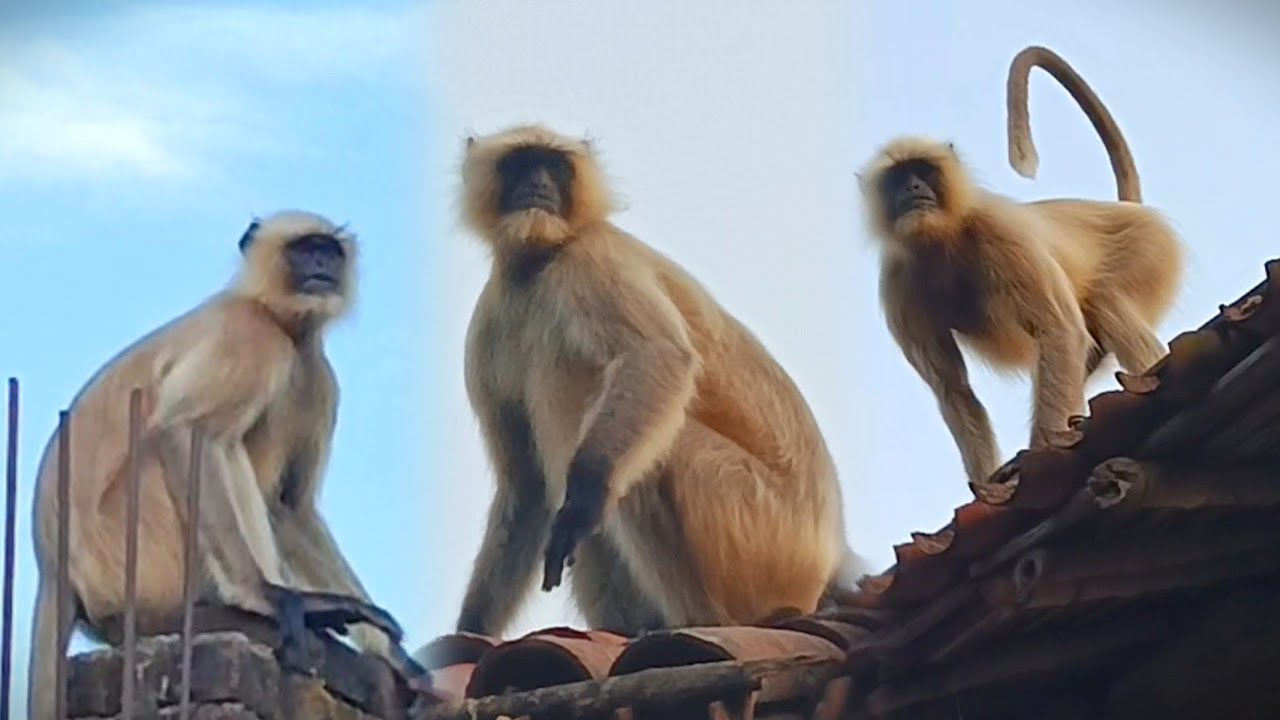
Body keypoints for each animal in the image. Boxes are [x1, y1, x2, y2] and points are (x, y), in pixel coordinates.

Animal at [27, 210, 423, 720]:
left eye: (328, 251)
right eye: (303, 250)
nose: (320, 265)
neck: (279, 318)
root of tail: (51, 565)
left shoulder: (316, 372)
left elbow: (290, 505)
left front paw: (395, 655)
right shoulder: (251, 336)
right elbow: (186, 430)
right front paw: (267, 598)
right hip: (134, 549)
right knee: (216, 441)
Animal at [451, 123, 862, 639]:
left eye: (555, 166)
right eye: (521, 163)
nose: (539, 184)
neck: (538, 262)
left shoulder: (591, 258)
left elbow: (660, 356)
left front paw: (583, 498)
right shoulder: (489, 320)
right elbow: (526, 487)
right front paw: (467, 632)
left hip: (767, 532)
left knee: (642, 457)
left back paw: (701, 622)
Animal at [858, 48, 1184, 487]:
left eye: (922, 171)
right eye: (897, 178)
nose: (912, 188)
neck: (941, 239)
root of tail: (1124, 210)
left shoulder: (999, 231)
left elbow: (1059, 331)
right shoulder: (897, 282)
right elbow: (953, 388)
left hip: (1150, 248)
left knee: (1103, 300)